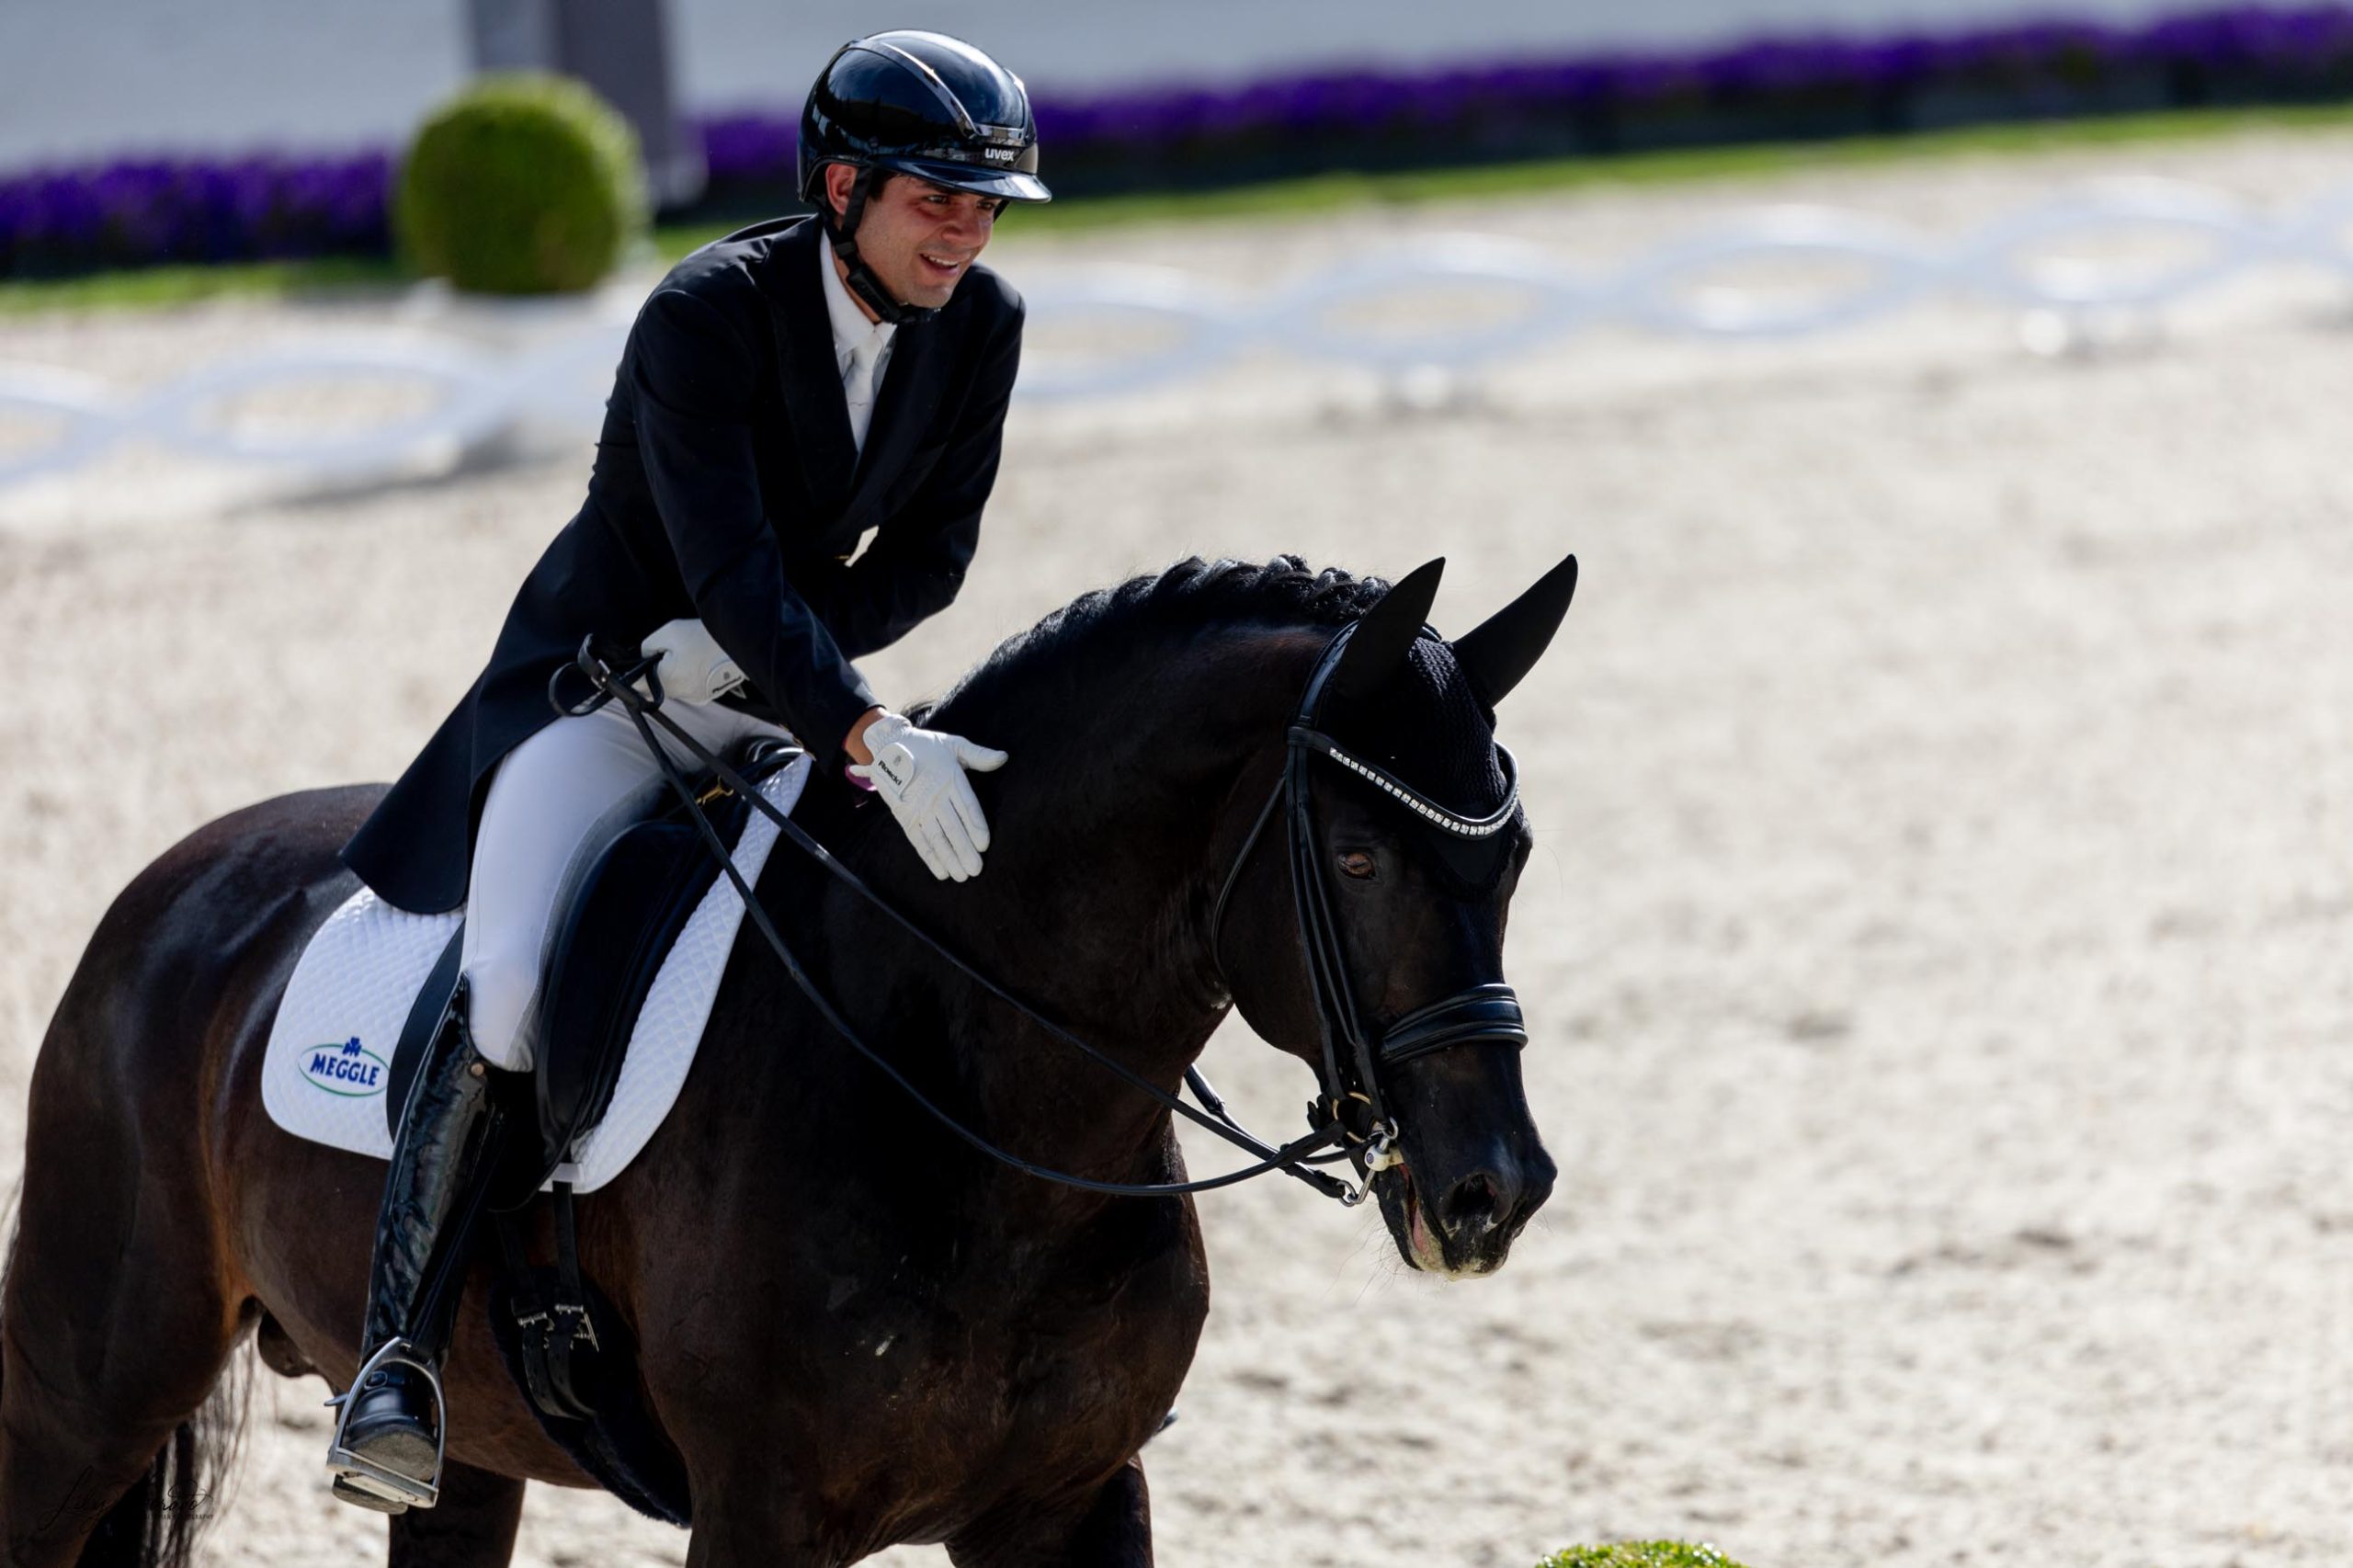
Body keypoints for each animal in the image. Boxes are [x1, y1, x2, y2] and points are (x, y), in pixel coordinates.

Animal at [9, 552, 1581, 1562]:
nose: (1490, 1193)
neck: (986, 1104)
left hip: (464, 1451)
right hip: (93, 1380)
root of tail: (172, 887)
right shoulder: (762, 1511)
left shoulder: (1074, 1498)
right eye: (1360, 855)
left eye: (1514, 856)